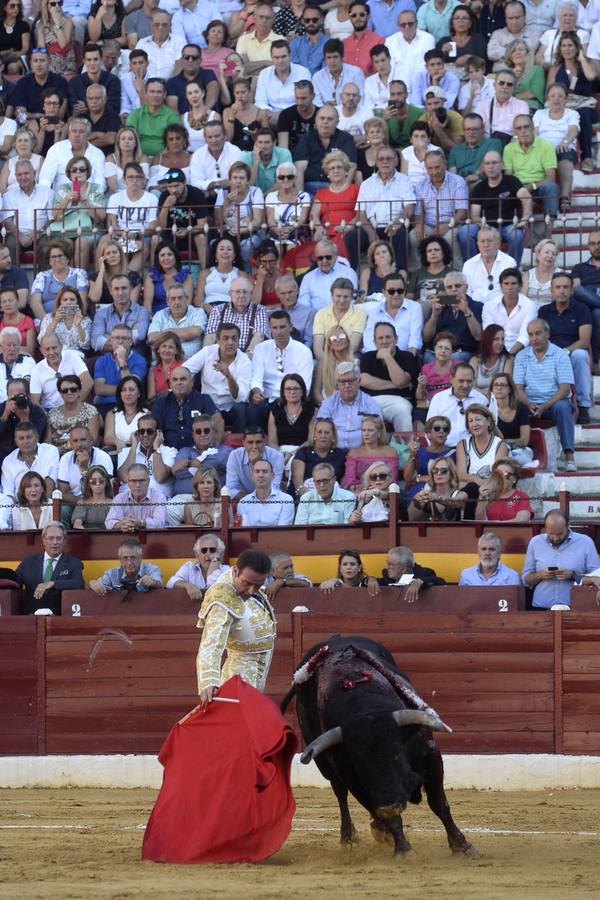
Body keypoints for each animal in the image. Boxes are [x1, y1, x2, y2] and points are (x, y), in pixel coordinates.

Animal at [282, 632, 478, 856]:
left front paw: (461, 846)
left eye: (396, 753)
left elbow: (439, 803)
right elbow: (385, 814)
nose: (390, 804)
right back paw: (350, 837)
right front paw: (403, 849)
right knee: (340, 793)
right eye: (360, 765)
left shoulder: (431, 754)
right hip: (324, 763)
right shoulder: (351, 775)